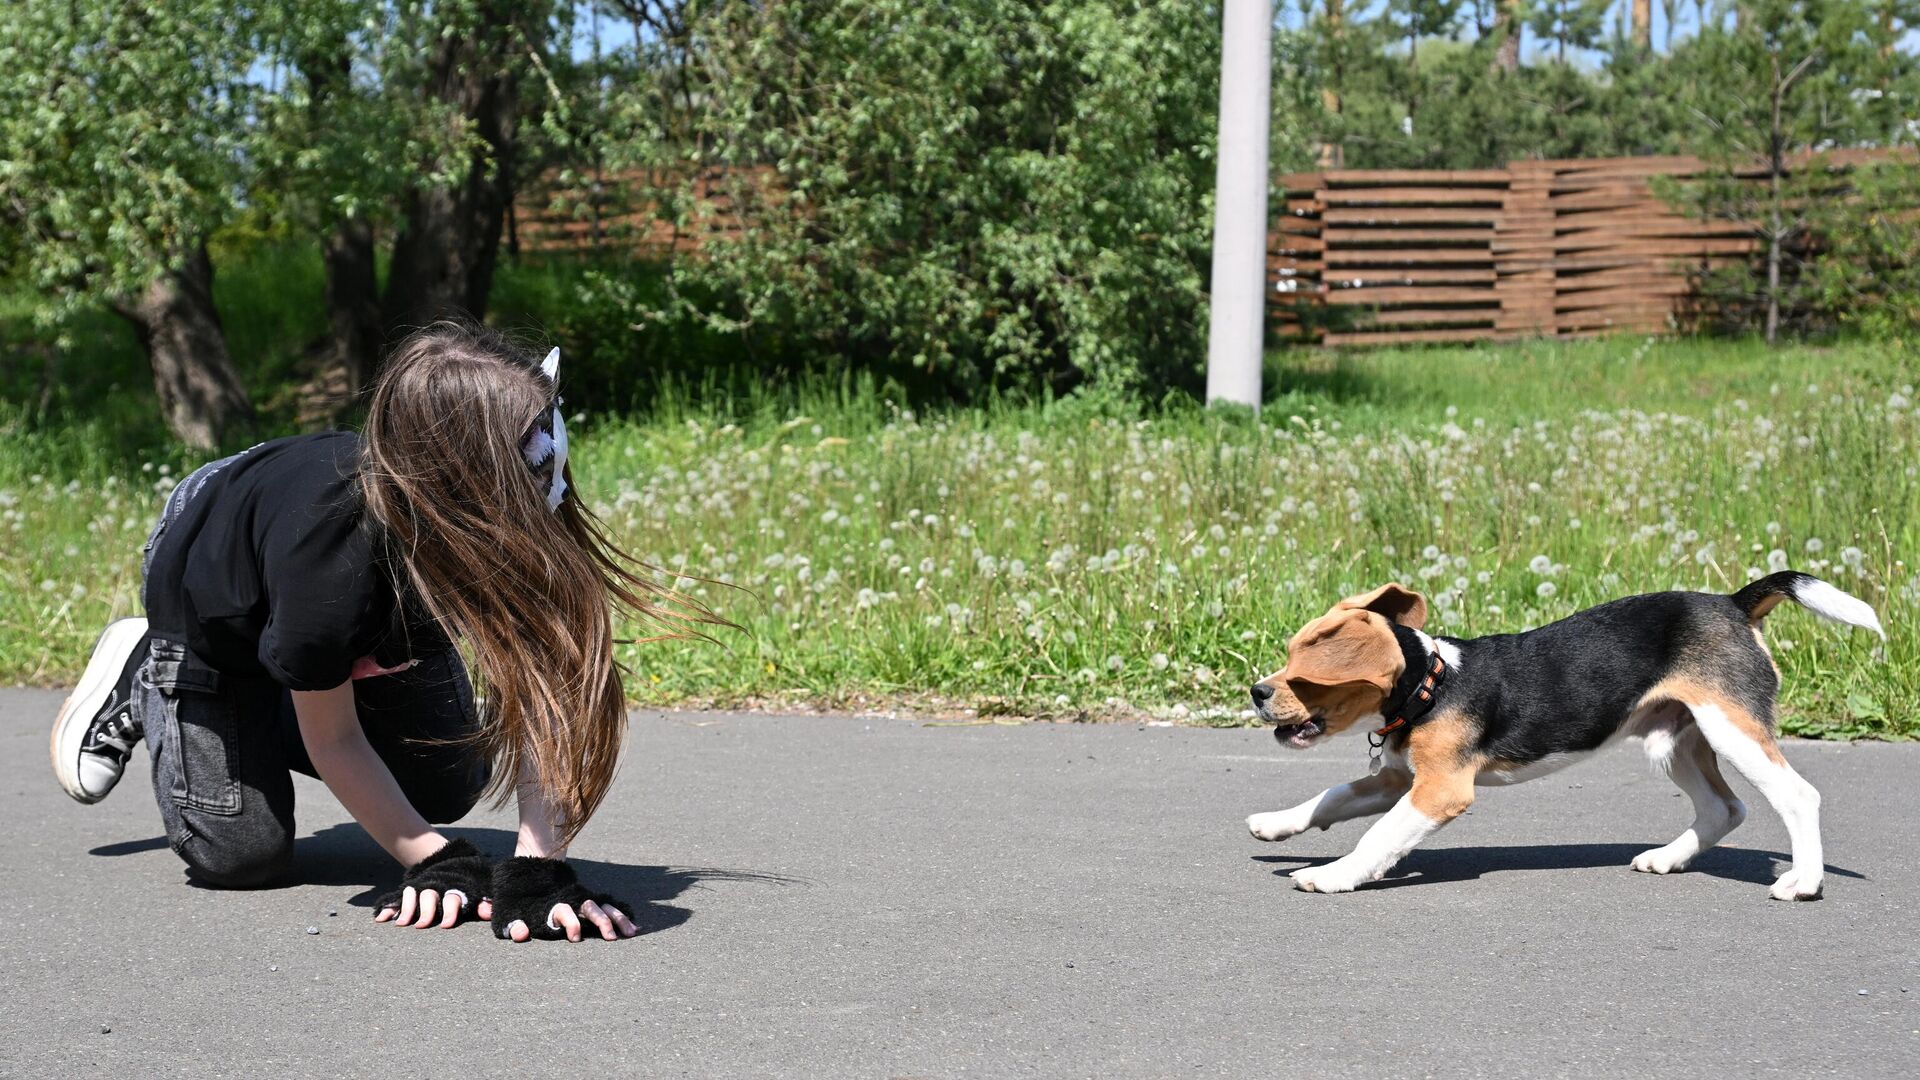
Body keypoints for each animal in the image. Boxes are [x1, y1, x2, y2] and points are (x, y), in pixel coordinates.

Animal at [1251, 572, 1881, 899]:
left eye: (1303, 675)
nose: (1257, 691)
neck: (1431, 683)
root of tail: (1732, 603)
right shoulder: (1396, 779)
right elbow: (1330, 798)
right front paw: (1276, 824)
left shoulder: (1439, 791)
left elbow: (1377, 836)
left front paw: (1332, 874)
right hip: (1673, 740)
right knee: (1723, 808)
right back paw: (1668, 859)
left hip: (1732, 730)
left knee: (1797, 796)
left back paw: (1803, 882)